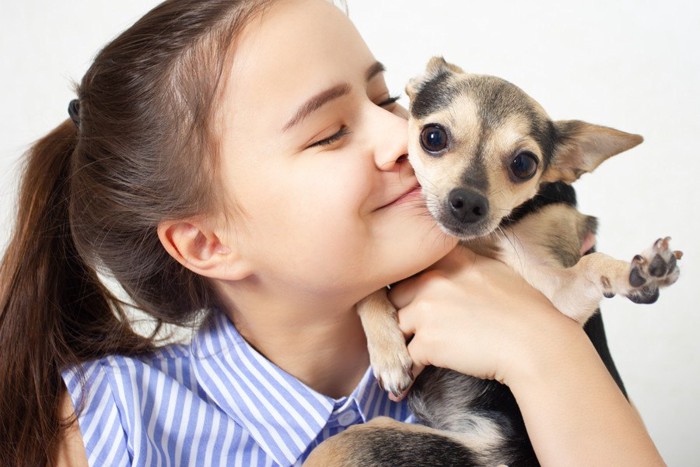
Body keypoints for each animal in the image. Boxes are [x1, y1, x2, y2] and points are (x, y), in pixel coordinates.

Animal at [304, 56, 680, 466]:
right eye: (433, 138)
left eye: (524, 164)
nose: (468, 201)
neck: (484, 238)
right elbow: (367, 287)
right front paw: (387, 351)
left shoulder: (563, 300)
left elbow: (590, 266)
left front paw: (637, 272)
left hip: (362, 444)